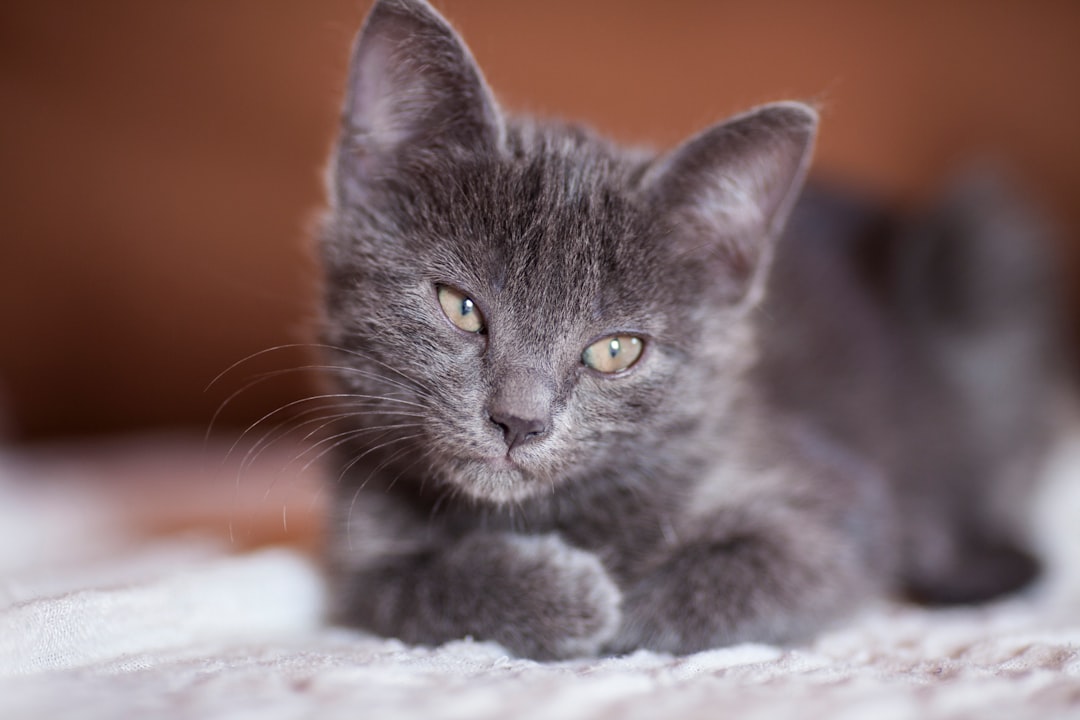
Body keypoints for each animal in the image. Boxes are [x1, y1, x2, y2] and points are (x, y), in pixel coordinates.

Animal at [315, 0, 1062, 660]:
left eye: (615, 350)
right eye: (460, 306)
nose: (518, 421)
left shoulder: (847, 503)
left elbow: (774, 564)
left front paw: (625, 606)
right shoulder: (357, 535)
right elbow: (397, 590)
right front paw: (556, 594)